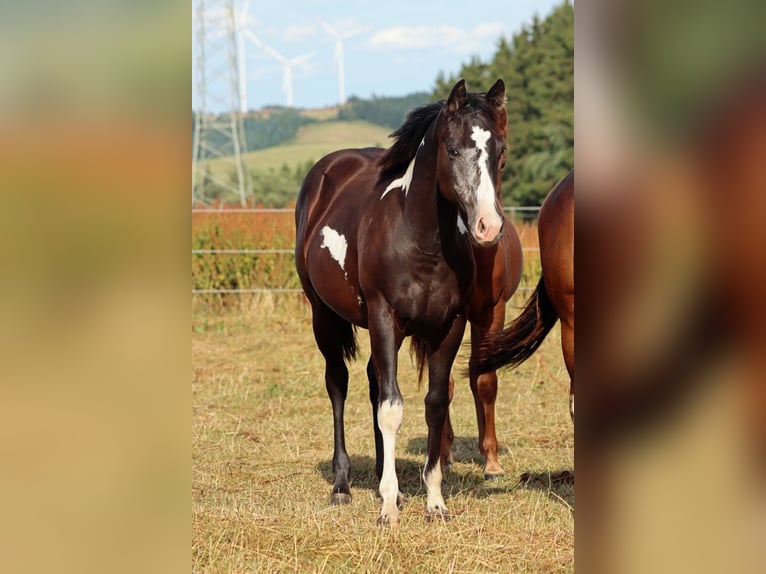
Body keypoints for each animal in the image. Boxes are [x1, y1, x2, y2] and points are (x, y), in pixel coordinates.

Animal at [295, 79, 509, 525]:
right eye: (452, 149)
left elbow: (435, 404)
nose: (488, 227)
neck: (422, 241)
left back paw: (386, 481)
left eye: (500, 151)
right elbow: (392, 407)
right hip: (325, 317)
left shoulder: (450, 325)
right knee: (338, 383)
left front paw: (433, 502)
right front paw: (388, 510)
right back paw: (343, 486)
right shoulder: (384, 317)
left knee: (374, 382)